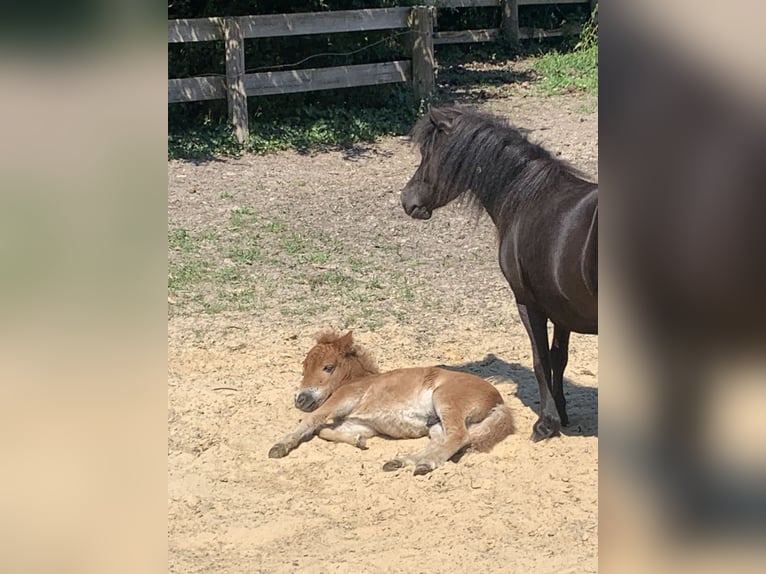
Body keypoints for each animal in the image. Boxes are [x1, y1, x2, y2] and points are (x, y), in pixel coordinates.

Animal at [270, 332, 516, 476]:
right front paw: (358, 441)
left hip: (445, 400)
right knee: (443, 441)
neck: (356, 380)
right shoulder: (361, 424)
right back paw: (402, 462)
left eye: (328, 367)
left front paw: (279, 446)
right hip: (437, 423)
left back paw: (424, 464)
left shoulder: (344, 399)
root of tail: (498, 399)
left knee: (458, 437)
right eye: (304, 367)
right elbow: (324, 431)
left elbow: (312, 421)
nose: (300, 399)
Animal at [402, 107, 600, 440]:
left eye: (426, 154)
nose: (407, 199)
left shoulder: (527, 303)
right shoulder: (561, 309)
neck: (526, 198)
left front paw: (546, 423)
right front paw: (561, 413)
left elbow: (540, 359)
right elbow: (558, 358)